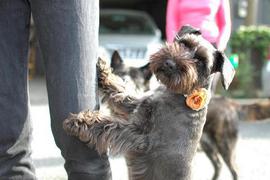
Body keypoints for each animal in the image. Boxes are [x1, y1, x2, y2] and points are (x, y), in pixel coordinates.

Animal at [61, 25, 234, 180]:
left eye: (200, 61)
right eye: (184, 43)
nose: (170, 63)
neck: (180, 94)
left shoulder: (141, 138)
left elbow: (111, 125)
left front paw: (81, 120)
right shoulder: (137, 105)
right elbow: (121, 90)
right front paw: (104, 71)